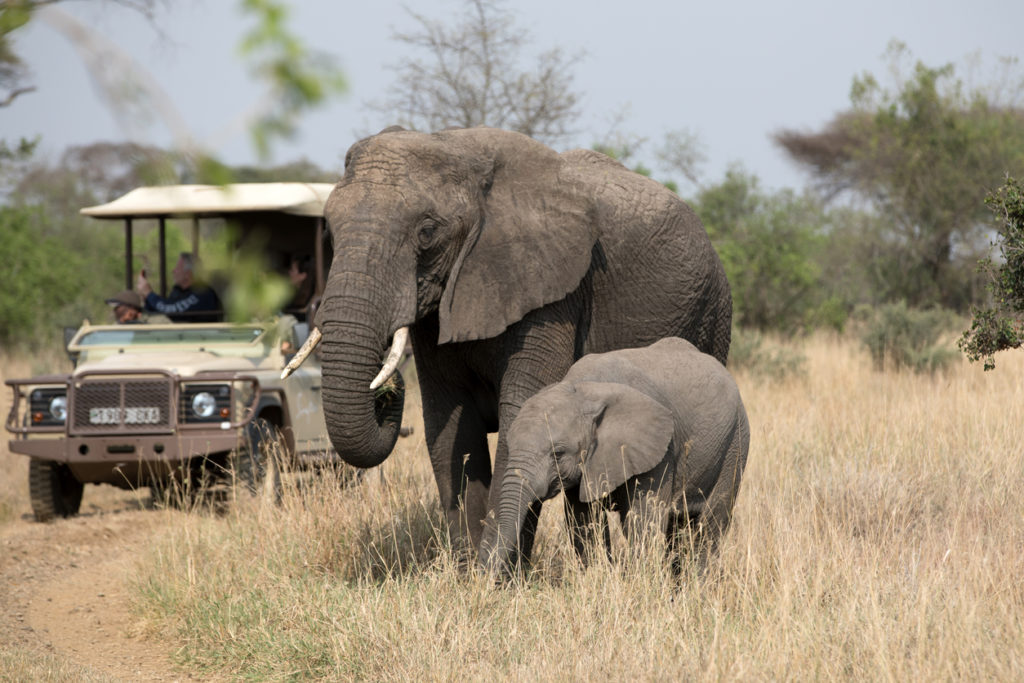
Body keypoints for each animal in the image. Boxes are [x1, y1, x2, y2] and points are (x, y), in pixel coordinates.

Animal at [292, 126, 733, 557]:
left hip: (710, 313)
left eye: (427, 232)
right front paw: (470, 569)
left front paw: (498, 570)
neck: (456, 145)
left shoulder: (552, 295)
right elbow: (451, 429)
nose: (387, 388)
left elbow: (517, 412)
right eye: (328, 229)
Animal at [475, 335, 749, 577]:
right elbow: (584, 522)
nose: (485, 579)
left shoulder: (660, 450)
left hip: (735, 444)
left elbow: (643, 522)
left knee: (710, 525)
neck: (584, 390)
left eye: (558, 453)